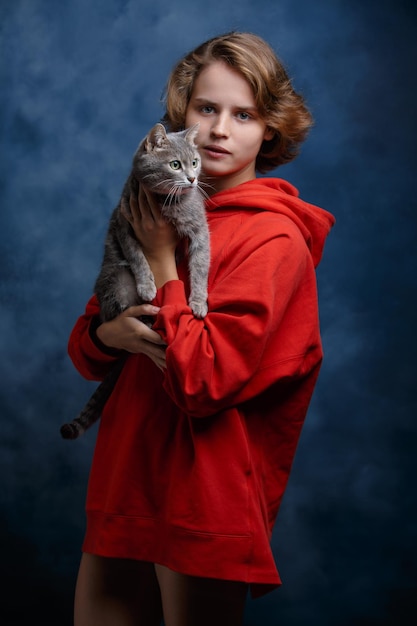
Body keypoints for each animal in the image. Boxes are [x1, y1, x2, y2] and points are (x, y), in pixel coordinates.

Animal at [60, 123, 210, 438]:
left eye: (194, 162)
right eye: (175, 165)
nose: (192, 178)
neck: (167, 202)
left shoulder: (199, 230)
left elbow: (201, 265)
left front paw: (199, 302)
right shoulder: (124, 224)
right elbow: (138, 257)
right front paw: (148, 285)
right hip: (116, 281)